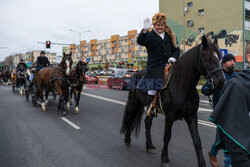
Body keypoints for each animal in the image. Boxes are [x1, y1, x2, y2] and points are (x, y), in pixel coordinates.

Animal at [120, 35, 226, 167]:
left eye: (219, 57)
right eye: (207, 57)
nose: (221, 81)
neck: (182, 86)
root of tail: (135, 74)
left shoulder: (191, 116)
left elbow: (197, 140)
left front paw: (201, 163)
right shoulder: (169, 116)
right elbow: (167, 136)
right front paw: (165, 158)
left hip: (150, 109)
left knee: (147, 123)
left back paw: (149, 146)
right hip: (134, 103)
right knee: (130, 118)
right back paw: (127, 139)